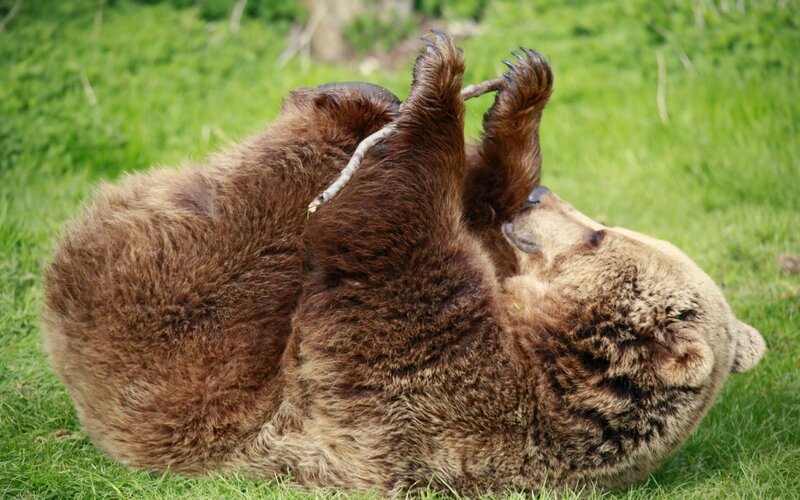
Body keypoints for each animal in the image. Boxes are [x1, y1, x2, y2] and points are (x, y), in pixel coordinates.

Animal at [43, 31, 765, 495]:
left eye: (598, 236)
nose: (540, 199)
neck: (542, 347)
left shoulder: (430, 386)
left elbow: (386, 237)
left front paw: (440, 80)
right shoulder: (494, 285)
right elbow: (475, 210)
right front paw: (522, 90)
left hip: (180, 348)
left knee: (255, 219)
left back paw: (345, 105)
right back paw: (363, 95)